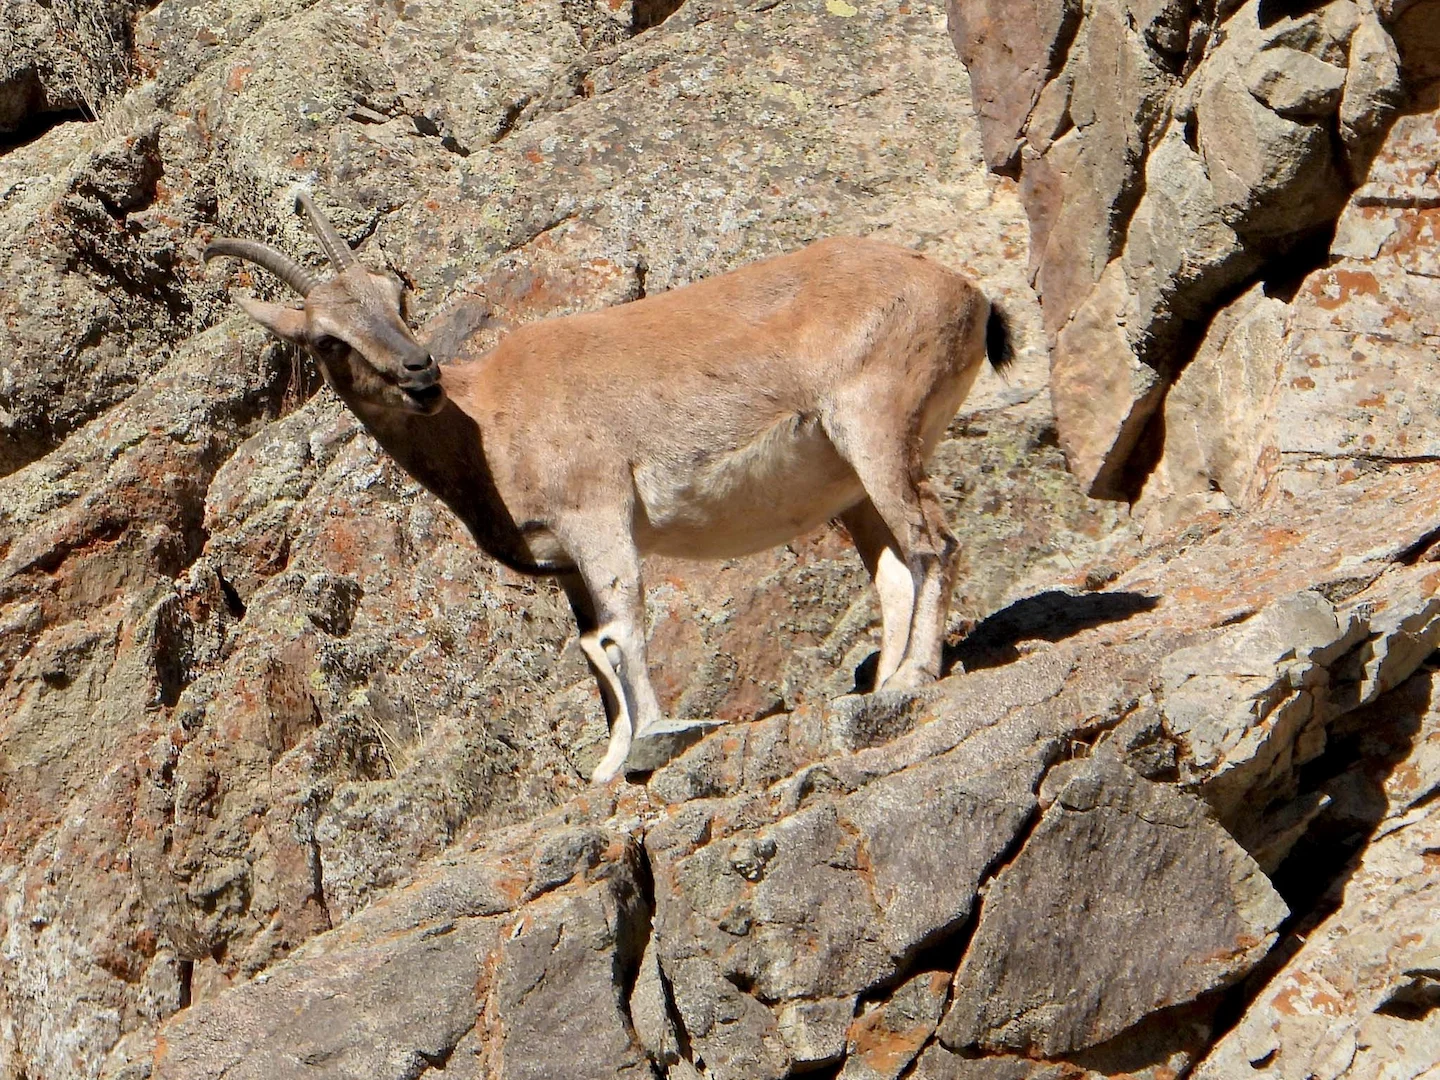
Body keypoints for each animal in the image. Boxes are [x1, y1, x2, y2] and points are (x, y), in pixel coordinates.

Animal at [205, 193, 1013, 782]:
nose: (419, 372)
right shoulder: (565, 560)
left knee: (934, 543)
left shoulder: (597, 513)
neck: (486, 418)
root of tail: (966, 293)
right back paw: (883, 683)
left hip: (876, 425)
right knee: (895, 568)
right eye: (328, 339)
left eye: (393, 297)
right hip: (852, 484)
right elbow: (593, 647)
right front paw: (609, 763)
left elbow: (624, 625)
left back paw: (913, 676)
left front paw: (655, 734)